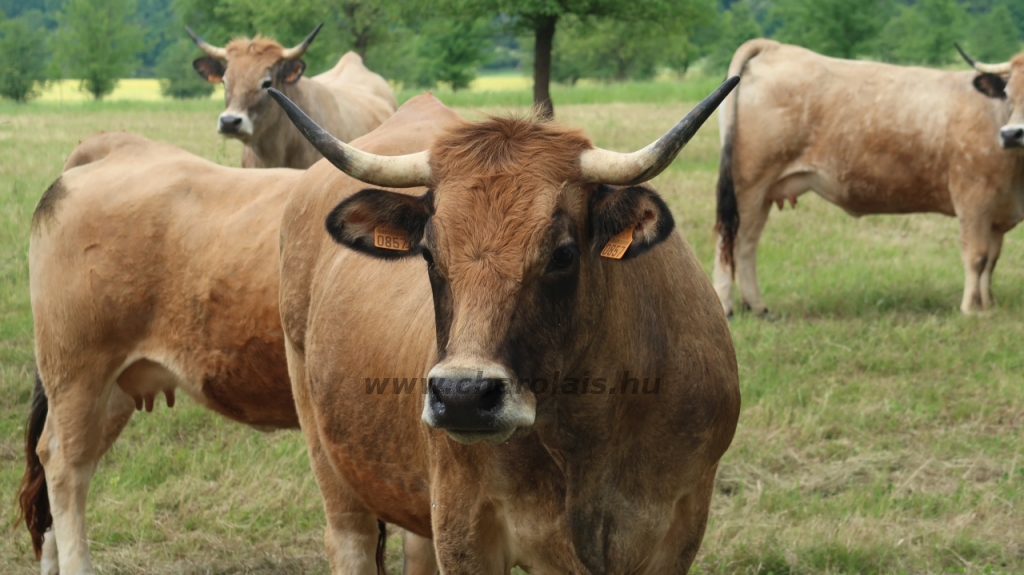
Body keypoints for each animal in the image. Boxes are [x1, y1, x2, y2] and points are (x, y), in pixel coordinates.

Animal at [712, 39, 1024, 317]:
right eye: (1009, 93)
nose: (1012, 134)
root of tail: (773, 46)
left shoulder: (998, 211)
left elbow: (991, 260)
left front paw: (989, 304)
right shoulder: (974, 197)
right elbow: (977, 256)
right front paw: (971, 309)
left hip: (762, 192)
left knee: (747, 243)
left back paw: (758, 308)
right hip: (748, 184)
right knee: (729, 240)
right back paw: (726, 307)